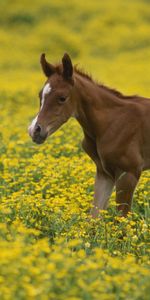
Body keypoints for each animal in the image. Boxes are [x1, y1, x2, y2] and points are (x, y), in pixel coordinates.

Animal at [28, 54, 150, 217]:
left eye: (62, 97)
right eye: (40, 95)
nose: (34, 130)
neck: (112, 122)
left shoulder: (129, 173)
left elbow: (122, 219)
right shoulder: (104, 173)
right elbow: (93, 217)